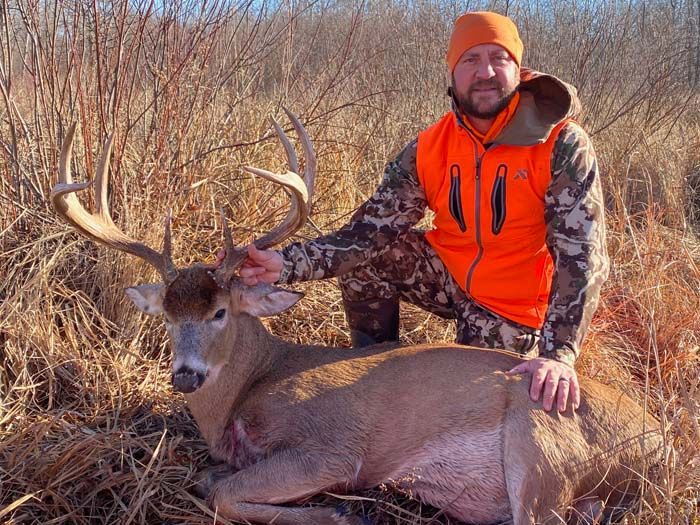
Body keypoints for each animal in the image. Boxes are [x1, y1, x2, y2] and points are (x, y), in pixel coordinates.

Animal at [52, 110, 662, 525]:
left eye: (221, 311)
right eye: (167, 315)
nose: (185, 375)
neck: (253, 384)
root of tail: (660, 440)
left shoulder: (333, 446)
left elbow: (222, 493)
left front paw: (339, 512)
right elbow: (210, 478)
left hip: (541, 447)